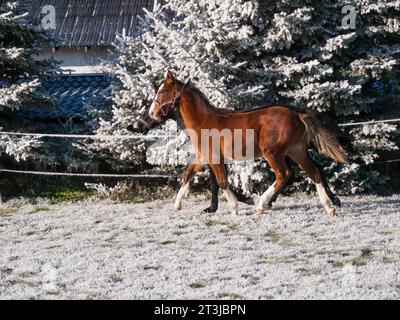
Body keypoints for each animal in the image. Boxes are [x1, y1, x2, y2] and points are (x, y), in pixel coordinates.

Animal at [149, 71, 346, 216]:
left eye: (161, 92)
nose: (151, 113)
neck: (203, 121)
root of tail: (297, 114)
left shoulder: (215, 158)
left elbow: (221, 181)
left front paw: (235, 207)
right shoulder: (203, 157)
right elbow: (188, 174)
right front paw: (177, 206)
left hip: (272, 152)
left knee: (284, 174)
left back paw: (262, 204)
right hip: (295, 151)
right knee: (313, 171)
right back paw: (329, 207)